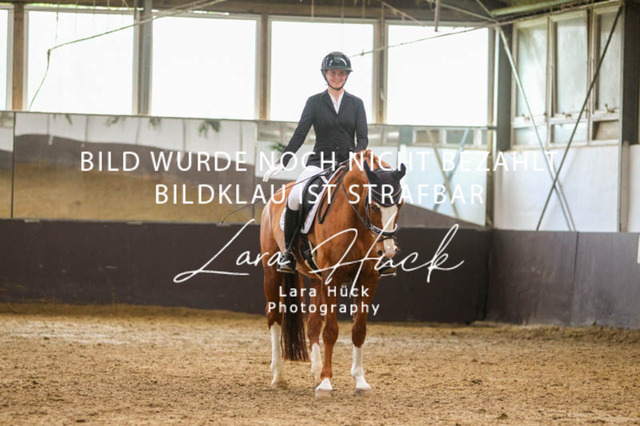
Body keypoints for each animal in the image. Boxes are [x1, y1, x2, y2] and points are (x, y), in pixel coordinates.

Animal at [259, 150, 406, 397]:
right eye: (374, 206)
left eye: (400, 205)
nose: (387, 250)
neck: (356, 221)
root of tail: (275, 196)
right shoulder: (332, 278)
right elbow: (331, 330)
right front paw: (327, 382)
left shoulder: (368, 280)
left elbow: (358, 330)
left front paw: (360, 381)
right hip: (272, 272)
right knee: (275, 317)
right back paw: (279, 376)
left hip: (316, 280)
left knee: (312, 324)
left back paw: (315, 372)